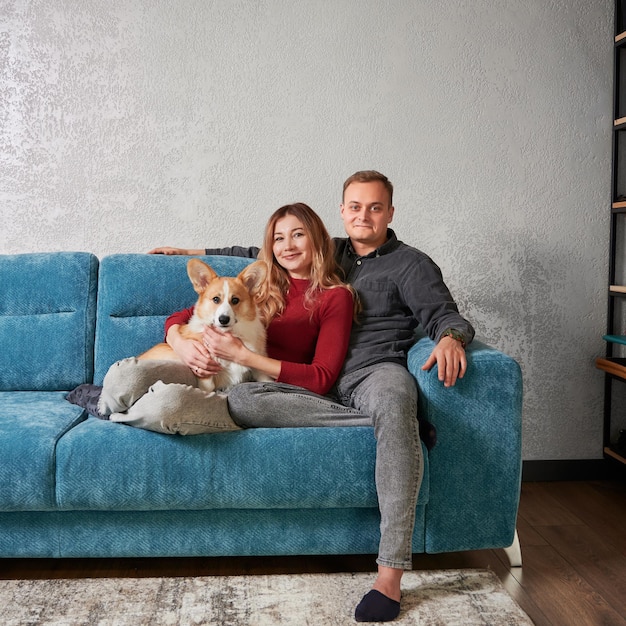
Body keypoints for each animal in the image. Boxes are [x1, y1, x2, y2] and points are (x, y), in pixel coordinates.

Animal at [139, 258, 268, 390]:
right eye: (216, 299)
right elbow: (208, 387)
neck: (230, 333)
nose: (223, 319)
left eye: (235, 300)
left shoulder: (257, 367)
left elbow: (266, 379)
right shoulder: (205, 369)